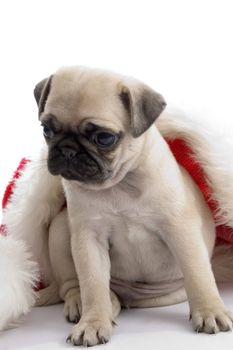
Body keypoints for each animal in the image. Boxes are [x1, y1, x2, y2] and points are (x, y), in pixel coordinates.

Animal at [2, 65, 233, 344]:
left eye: (104, 138)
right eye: (47, 130)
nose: (67, 150)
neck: (120, 185)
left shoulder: (181, 231)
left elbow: (198, 275)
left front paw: (210, 310)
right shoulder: (89, 239)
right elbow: (93, 285)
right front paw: (92, 322)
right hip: (59, 229)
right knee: (75, 286)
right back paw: (84, 303)